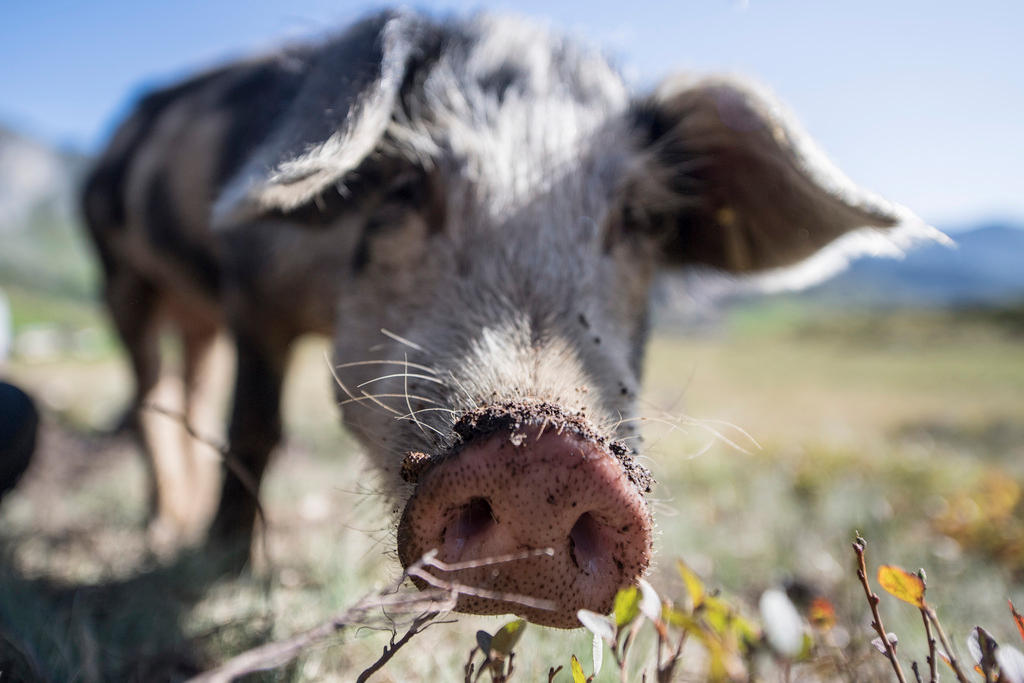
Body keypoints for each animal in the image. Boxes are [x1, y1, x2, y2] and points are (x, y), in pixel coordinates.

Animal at [79, 9, 942, 630]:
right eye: (406, 185)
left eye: (640, 220)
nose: (546, 455)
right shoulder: (251, 289)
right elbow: (256, 427)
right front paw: (228, 569)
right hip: (117, 270)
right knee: (153, 387)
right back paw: (165, 532)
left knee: (186, 382)